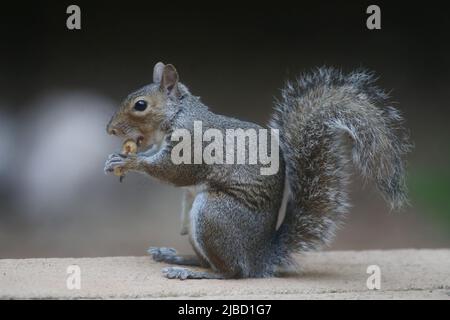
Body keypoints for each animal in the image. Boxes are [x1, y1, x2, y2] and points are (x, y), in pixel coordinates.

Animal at [103, 62, 412, 280]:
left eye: (140, 105)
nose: (111, 130)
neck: (179, 114)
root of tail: (260, 256)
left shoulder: (191, 143)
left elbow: (175, 172)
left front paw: (129, 161)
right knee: (211, 261)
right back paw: (178, 257)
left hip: (213, 214)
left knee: (231, 271)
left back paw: (190, 271)